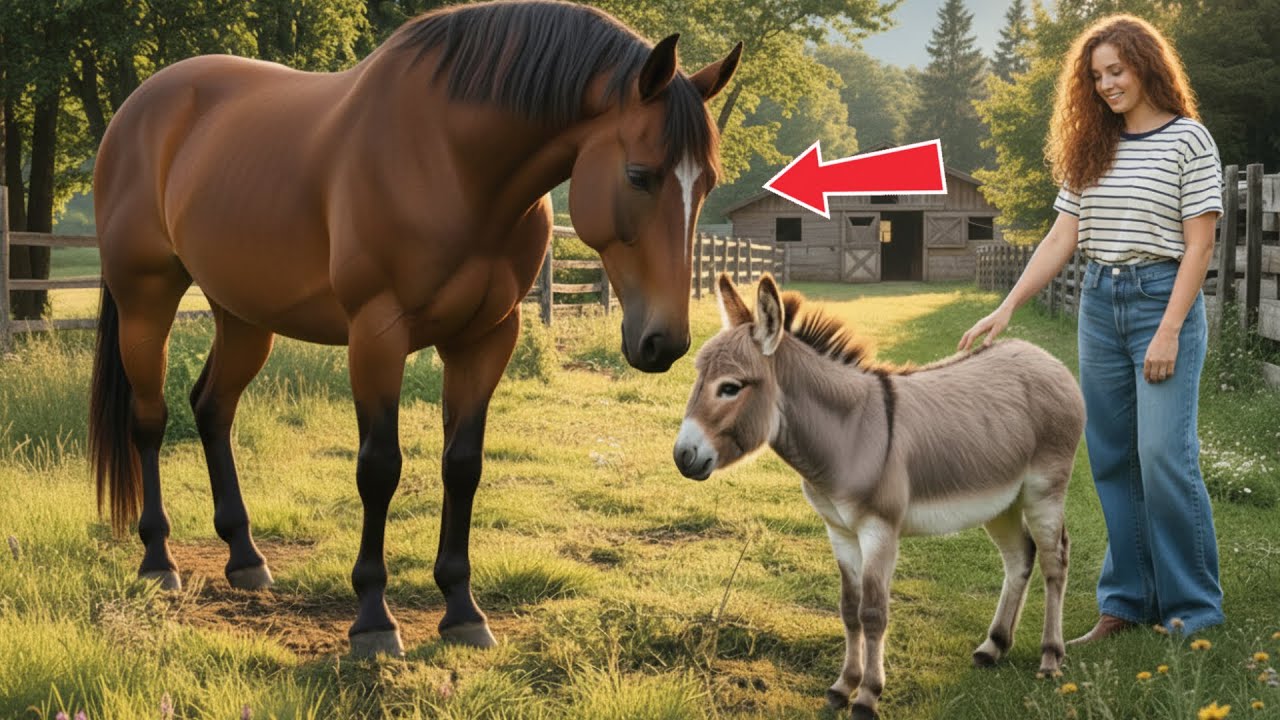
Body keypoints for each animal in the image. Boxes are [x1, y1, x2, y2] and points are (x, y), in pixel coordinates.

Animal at [88, 0, 742, 658]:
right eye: (639, 175)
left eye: (707, 183)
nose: (664, 342)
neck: (452, 162)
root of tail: (138, 109)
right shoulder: (378, 334)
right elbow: (380, 468)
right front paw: (374, 619)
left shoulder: (486, 339)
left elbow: (463, 465)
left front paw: (462, 611)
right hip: (147, 299)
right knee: (150, 420)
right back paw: (158, 560)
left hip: (243, 315)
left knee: (212, 408)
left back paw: (245, 557)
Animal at [673, 275, 1084, 719]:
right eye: (697, 378)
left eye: (730, 388)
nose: (681, 456)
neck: (849, 435)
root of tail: (1043, 356)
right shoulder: (839, 530)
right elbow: (848, 609)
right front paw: (843, 686)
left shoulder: (880, 530)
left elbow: (872, 613)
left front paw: (868, 695)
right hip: (1001, 501)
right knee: (1019, 557)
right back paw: (994, 645)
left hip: (1044, 490)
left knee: (1054, 561)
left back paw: (1050, 656)